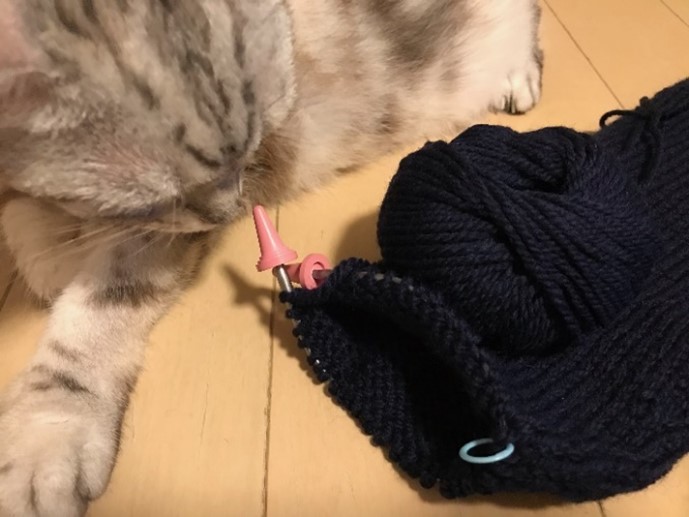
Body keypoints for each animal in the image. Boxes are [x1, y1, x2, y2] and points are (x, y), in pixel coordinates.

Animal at [0, 0, 543, 515]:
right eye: (155, 200)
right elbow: (25, 215)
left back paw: (518, 73)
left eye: (253, 148)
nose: (226, 210)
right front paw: (46, 242)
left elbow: (97, 311)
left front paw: (47, 434)